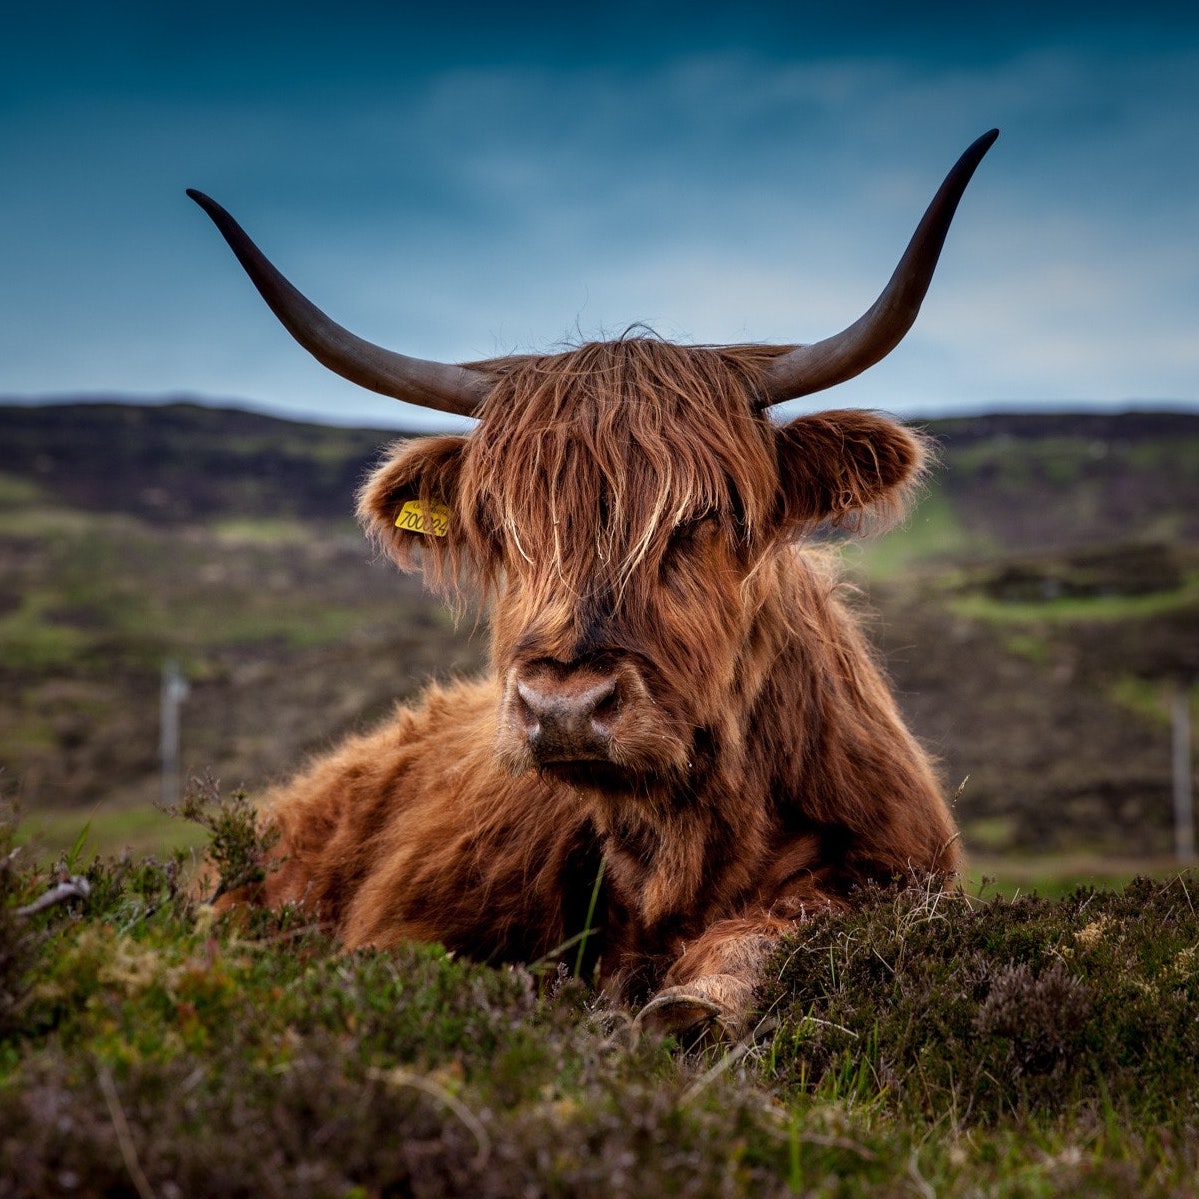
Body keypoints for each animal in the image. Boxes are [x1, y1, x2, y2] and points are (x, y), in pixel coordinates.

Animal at [184, 126, 992, 1035]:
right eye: (502, 526)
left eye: (704, 516)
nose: (563, 706)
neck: (680, 847)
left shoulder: (893, 871)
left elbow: (779, 929)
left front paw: (693, 1001)